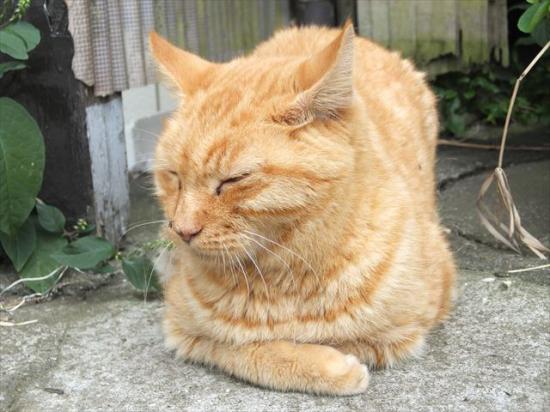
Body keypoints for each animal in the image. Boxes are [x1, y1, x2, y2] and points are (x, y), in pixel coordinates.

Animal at [151, 22, 458, 396]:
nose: (182, 229)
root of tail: (319, 27)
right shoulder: (180, 328)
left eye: (233, 179)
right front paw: (328, 366)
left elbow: (347, 336)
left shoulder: (411, 323)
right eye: (173, 176)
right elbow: (242, 348)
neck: (287, 275)